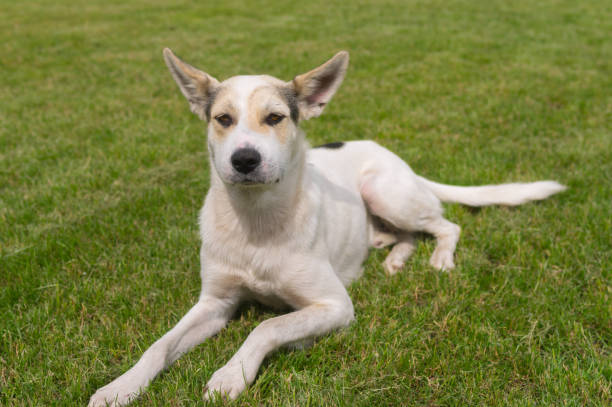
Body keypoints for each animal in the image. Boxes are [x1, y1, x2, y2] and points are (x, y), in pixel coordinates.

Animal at [88, 49, 568, 406]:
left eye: (275, 118)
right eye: (222, 119)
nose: (244, 160)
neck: (256, 220)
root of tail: (395, 158)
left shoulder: (334, 306)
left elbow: (267, 327)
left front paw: (231, 374)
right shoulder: (215, 304)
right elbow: (159, 345)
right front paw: (121, 386)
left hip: (383, 189)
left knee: (445, 225)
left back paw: (439, 258)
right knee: (407, 234)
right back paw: (393, 258)